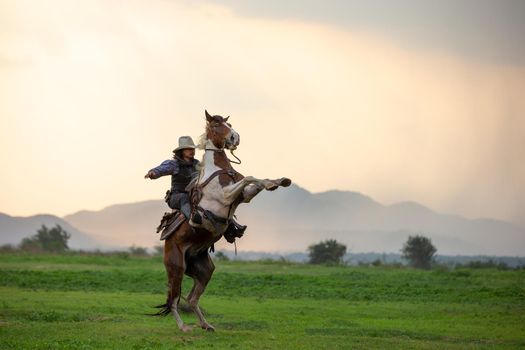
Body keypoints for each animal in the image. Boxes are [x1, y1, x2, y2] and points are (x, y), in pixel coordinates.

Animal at [156, 110, 290, 332]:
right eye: (217, 125)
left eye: (230, 124)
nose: (235, 138)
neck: (219, 171)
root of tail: (167, 243)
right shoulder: (225, 197)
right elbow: (249, 178)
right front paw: (274, 183)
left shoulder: (244, 196)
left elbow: (254, 181)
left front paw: (278, 181)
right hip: (176, 268)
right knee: (173, 300)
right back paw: (184, 327)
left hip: (204, 269)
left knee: (192, 298)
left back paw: (206, 325)